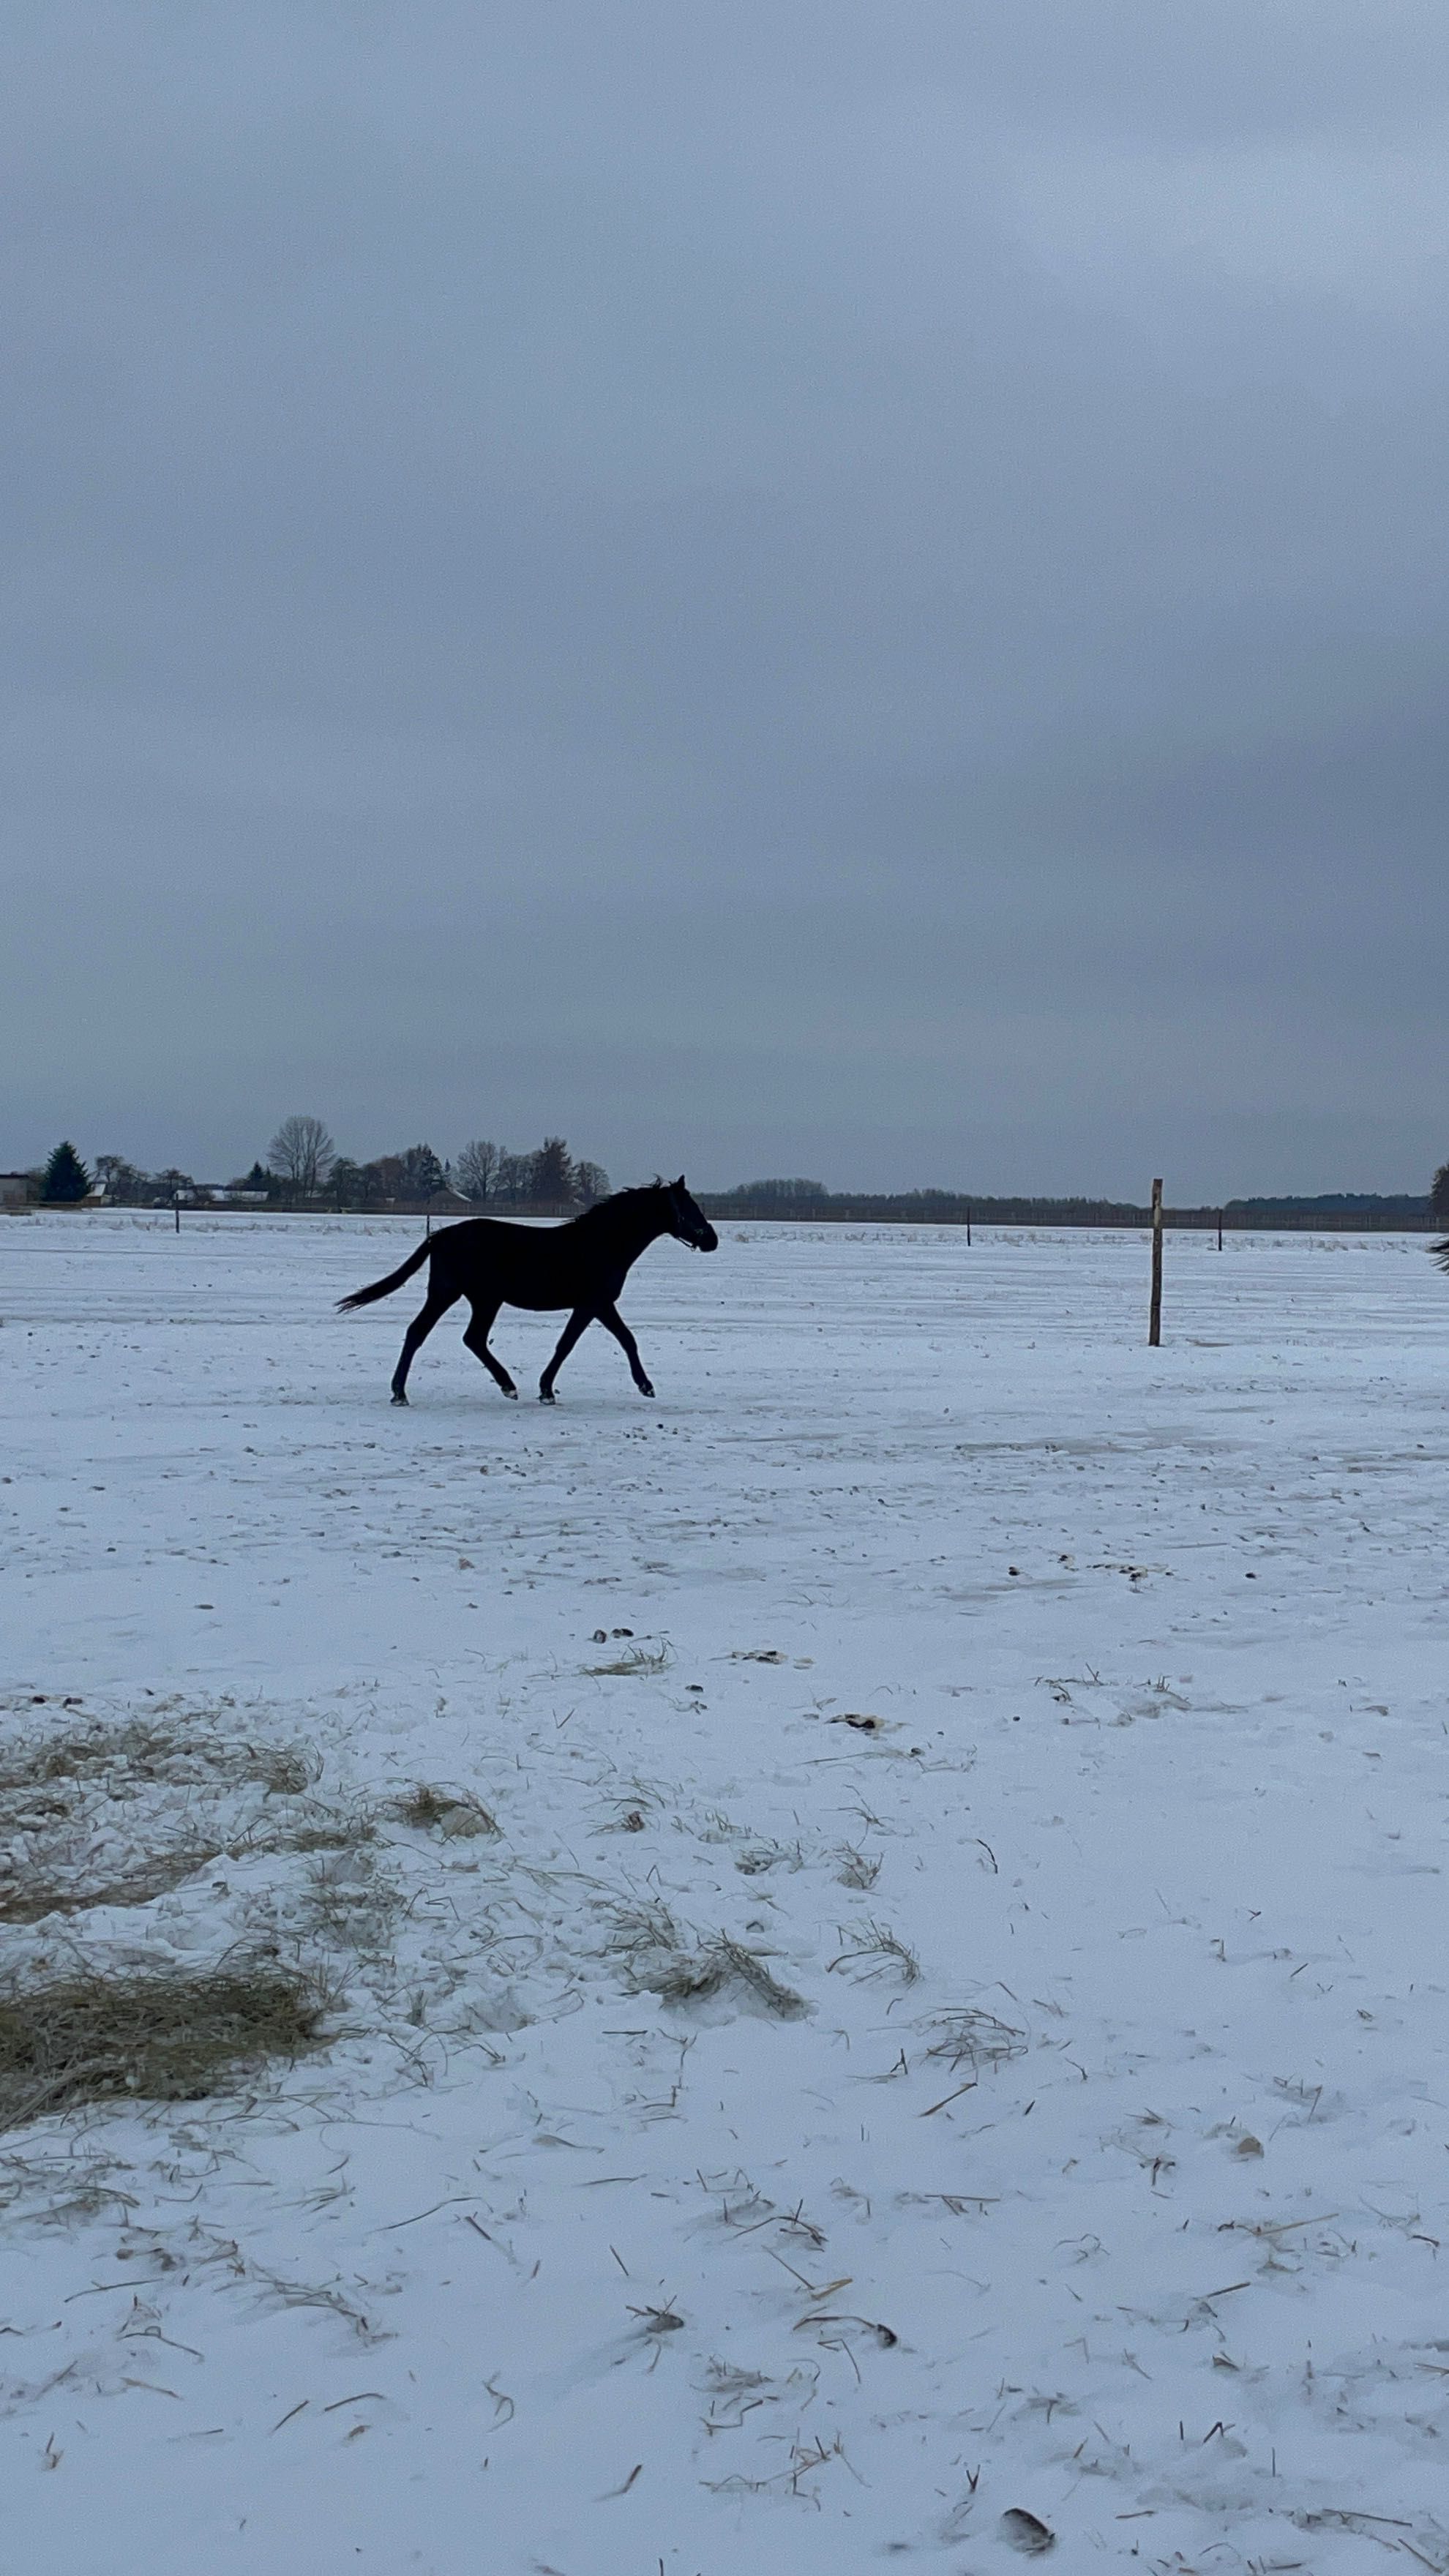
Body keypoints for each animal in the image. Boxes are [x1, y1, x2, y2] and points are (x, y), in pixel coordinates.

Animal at [340, 1180, 722, 1401]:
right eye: (688, 1207)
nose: (712, 1240)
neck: (601, 1243)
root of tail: (441, 1235)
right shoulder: (594, 1303)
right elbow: (578, 1344)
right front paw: (548, 1390)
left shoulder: (598, 1305)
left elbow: (616, 1340)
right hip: (464, 1296)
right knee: (440, 1334)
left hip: (470, 1298)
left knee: (451, 1336)